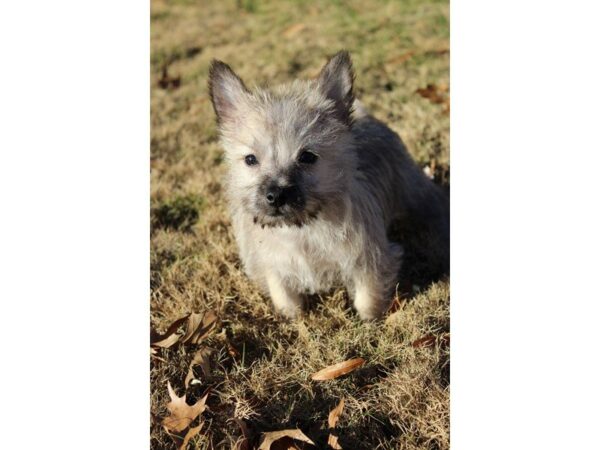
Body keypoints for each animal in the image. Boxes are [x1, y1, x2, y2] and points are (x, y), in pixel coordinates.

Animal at [209, 51, 448, 320]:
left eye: (307, 157)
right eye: (251, 160)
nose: (276, 195)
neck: (300, 229)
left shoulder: (368, 260)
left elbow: (367, 299)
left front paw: (370, 322)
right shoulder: (274, 265)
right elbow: (285, 298)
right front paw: (293, 319)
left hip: (413, 190)